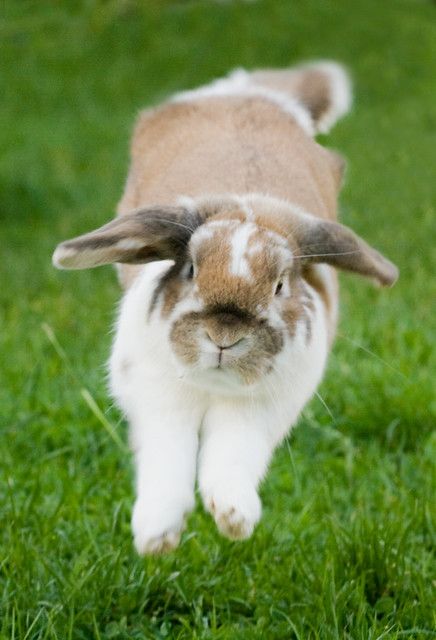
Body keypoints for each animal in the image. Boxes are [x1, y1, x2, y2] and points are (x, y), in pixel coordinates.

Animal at [54, 61, 398, 556]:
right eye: (191, 268)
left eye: (279, 286)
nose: (223, 338)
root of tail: (251, 90)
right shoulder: (154, 395)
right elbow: (167, 457)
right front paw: (157, 537)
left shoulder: (262, 410)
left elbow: (233, 456)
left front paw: (235, 519)